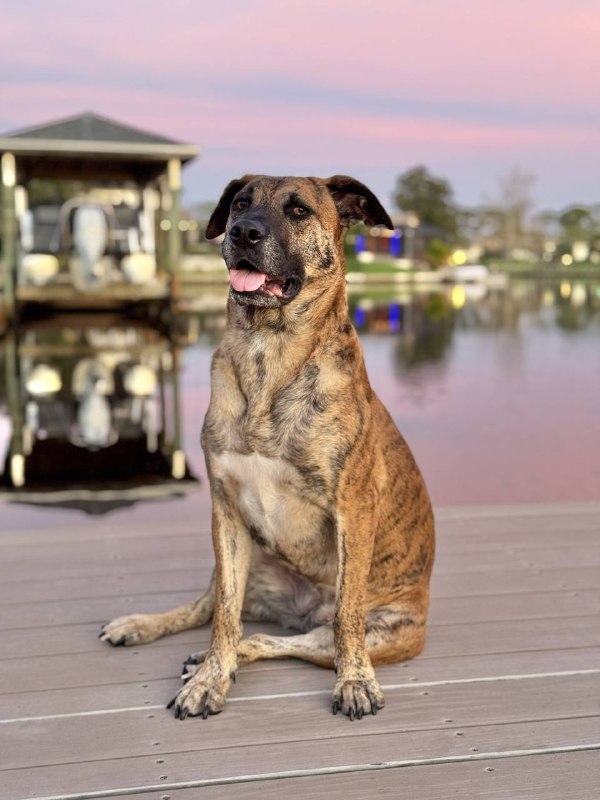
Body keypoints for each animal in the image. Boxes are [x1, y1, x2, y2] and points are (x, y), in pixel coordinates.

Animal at [101, 173, 434, 720]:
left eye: (298, 210)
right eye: (240, 203)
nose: (243, 232)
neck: (268, 353)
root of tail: (299, 611)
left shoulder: (353, 509)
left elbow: (346, 618)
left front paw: (355, 681)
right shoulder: (226, 513)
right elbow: (223, 618)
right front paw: (210, 680)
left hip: (385, 631)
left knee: (286, 639)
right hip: (248, 560)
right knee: (214, 612)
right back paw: (146, 627)